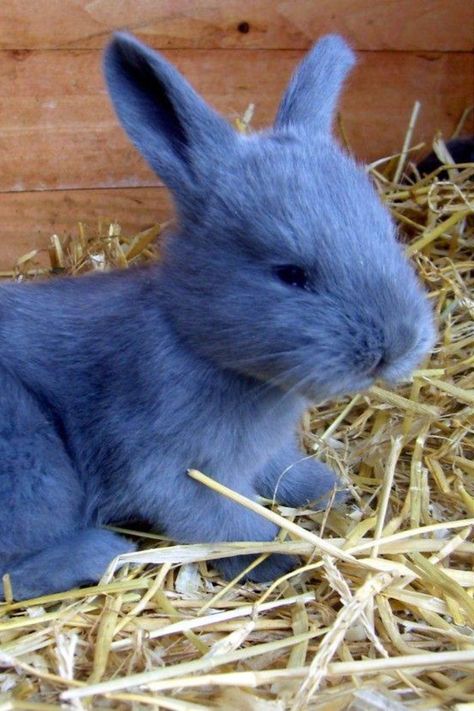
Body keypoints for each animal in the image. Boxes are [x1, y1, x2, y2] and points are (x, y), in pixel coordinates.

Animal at [0, 33, 436, 600]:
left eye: (388, 234)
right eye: (290, 274)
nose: (396, 347)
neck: (195, 340)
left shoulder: (262, 455)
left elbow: (282, 474)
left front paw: (329, 489)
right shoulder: (173, 471)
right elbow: (225, 521)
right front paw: (279, 560)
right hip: (34, 460)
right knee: (13, 571)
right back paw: (101, 552)